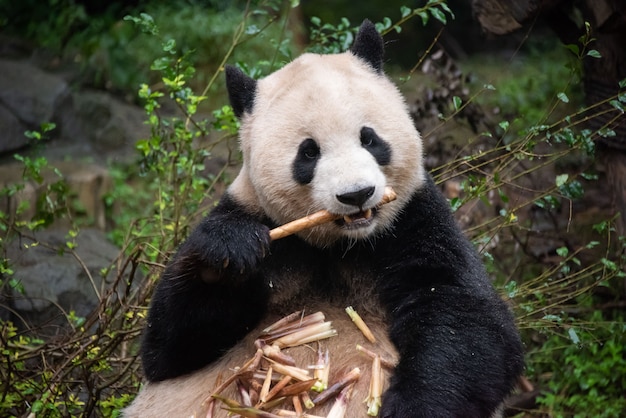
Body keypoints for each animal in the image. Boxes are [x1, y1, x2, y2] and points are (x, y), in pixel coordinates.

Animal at [125, 20, 520, 418]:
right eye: (309, 152)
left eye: (369, 138)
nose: (356, 194)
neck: (342, 244)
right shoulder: (256, 215)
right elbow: (169, 349)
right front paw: (228, 253)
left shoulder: (415, 222)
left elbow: (467, 319)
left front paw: (413, 406)